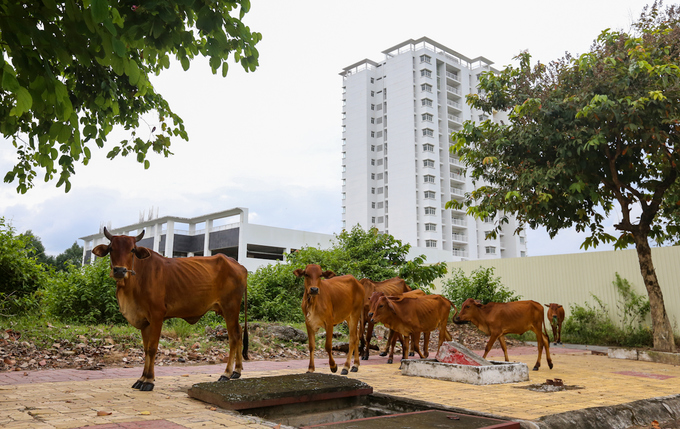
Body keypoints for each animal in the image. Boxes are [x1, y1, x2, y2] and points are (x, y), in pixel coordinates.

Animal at [91, 229, 248, 390]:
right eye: (111, 248)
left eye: (132, 250)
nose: (119, 270)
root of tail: (239, 266)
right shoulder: (145, 321)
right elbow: (146, 349)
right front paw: (142, 378)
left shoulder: (157, 315)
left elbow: (152, 348)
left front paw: (149, 381)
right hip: (226, 311)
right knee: (239, 332)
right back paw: (237, 371)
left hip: (230, 308)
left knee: (233, 337)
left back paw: (226, 373)